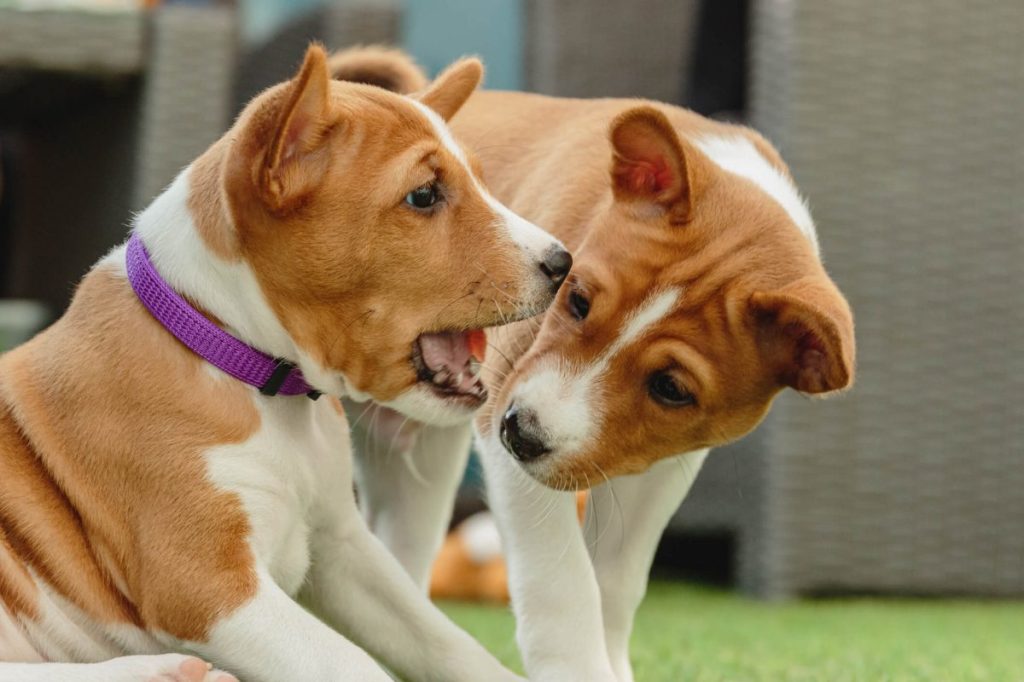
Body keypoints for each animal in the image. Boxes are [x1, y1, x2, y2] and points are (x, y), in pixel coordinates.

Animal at [0, 43, 569, 679]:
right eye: (424, 195)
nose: (564, 262)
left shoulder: (343, 546)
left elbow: (445, 640)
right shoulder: (208, 585)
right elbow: (354, 664)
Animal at [329, 47, 856, 679]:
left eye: (671, 388)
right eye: (577, 300)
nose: (522, 433)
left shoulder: (663, 465)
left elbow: (616, 581)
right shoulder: (505, 407)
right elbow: (563, 582)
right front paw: (576, 667)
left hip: (418, 460)